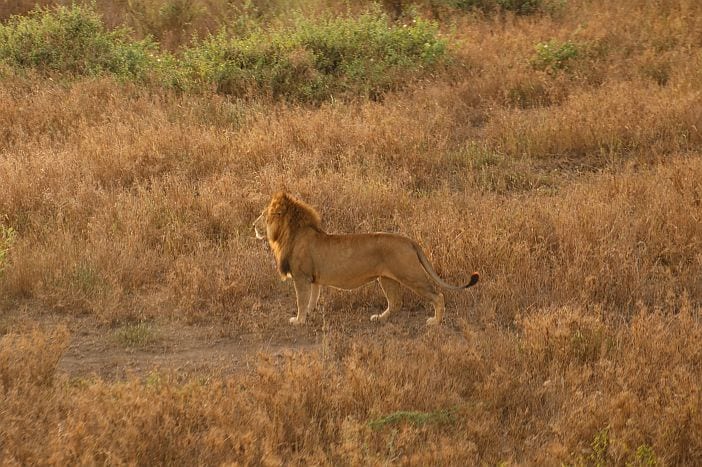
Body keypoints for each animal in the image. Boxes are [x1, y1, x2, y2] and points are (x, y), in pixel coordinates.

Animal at [256, 192, 482, 328]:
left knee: (438, 295)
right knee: (396, 303)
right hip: (387, 278)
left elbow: (301, 300)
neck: (291, 233)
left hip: (410, 275)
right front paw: (310, 315)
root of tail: (409, 240)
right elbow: (313, 298)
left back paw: (435, 322)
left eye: (264, 215)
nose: (252, 225)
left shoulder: (301, 276)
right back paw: (380, 318)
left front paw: (298, 320)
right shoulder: (313, 278)